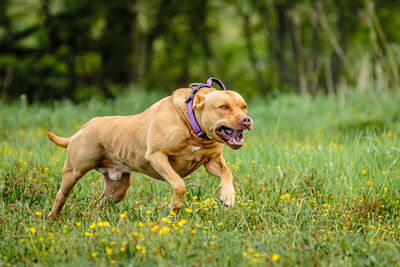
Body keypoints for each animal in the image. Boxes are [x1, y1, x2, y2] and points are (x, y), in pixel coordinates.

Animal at [47, 78, 253, 219]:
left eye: (244, 106)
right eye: (224, 107)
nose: (247, 120)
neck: (191, 123)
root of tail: (86, 125)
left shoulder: (212, 162)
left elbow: (227, 173)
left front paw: (228, 196)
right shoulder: (157, 157)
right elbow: (179, 184)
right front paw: (175, 206)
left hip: (117, 188)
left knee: (97, 204)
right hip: (73, 171)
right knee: (61, 195)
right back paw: (53, 219)